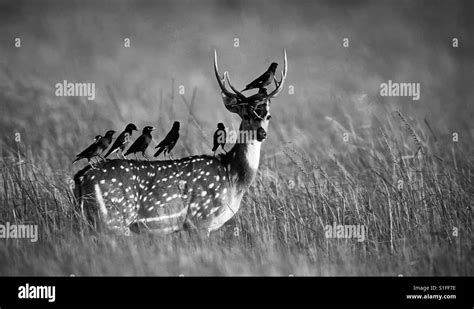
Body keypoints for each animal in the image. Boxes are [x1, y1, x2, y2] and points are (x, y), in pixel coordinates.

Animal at [74, 50, 286, 233]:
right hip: (113, 218)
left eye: (268, 116)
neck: (232, 177)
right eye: (246, 114)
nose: (261, 133)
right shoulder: (200, 218)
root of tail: (81, 177)